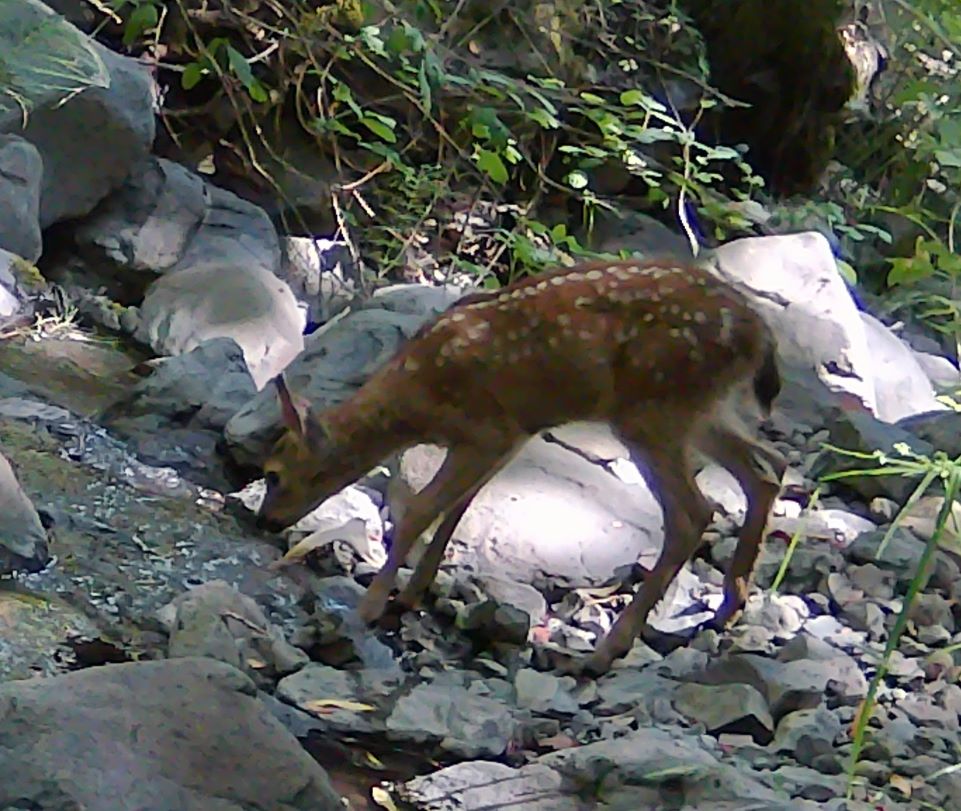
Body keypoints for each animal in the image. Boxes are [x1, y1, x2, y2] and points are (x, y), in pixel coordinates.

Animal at [256, 258, 788, 675]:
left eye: (273, 473)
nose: (265, 520)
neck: (418, 403)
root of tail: (758, 332)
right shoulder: (508, 435)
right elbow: (456, 509)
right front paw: (410, 594)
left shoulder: (487, 430)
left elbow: (421, 510)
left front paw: (371, 605)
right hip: (698, 410)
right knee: (768, 466)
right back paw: (729, 609)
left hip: (653, 410)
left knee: (694, 513)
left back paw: (601, 655)